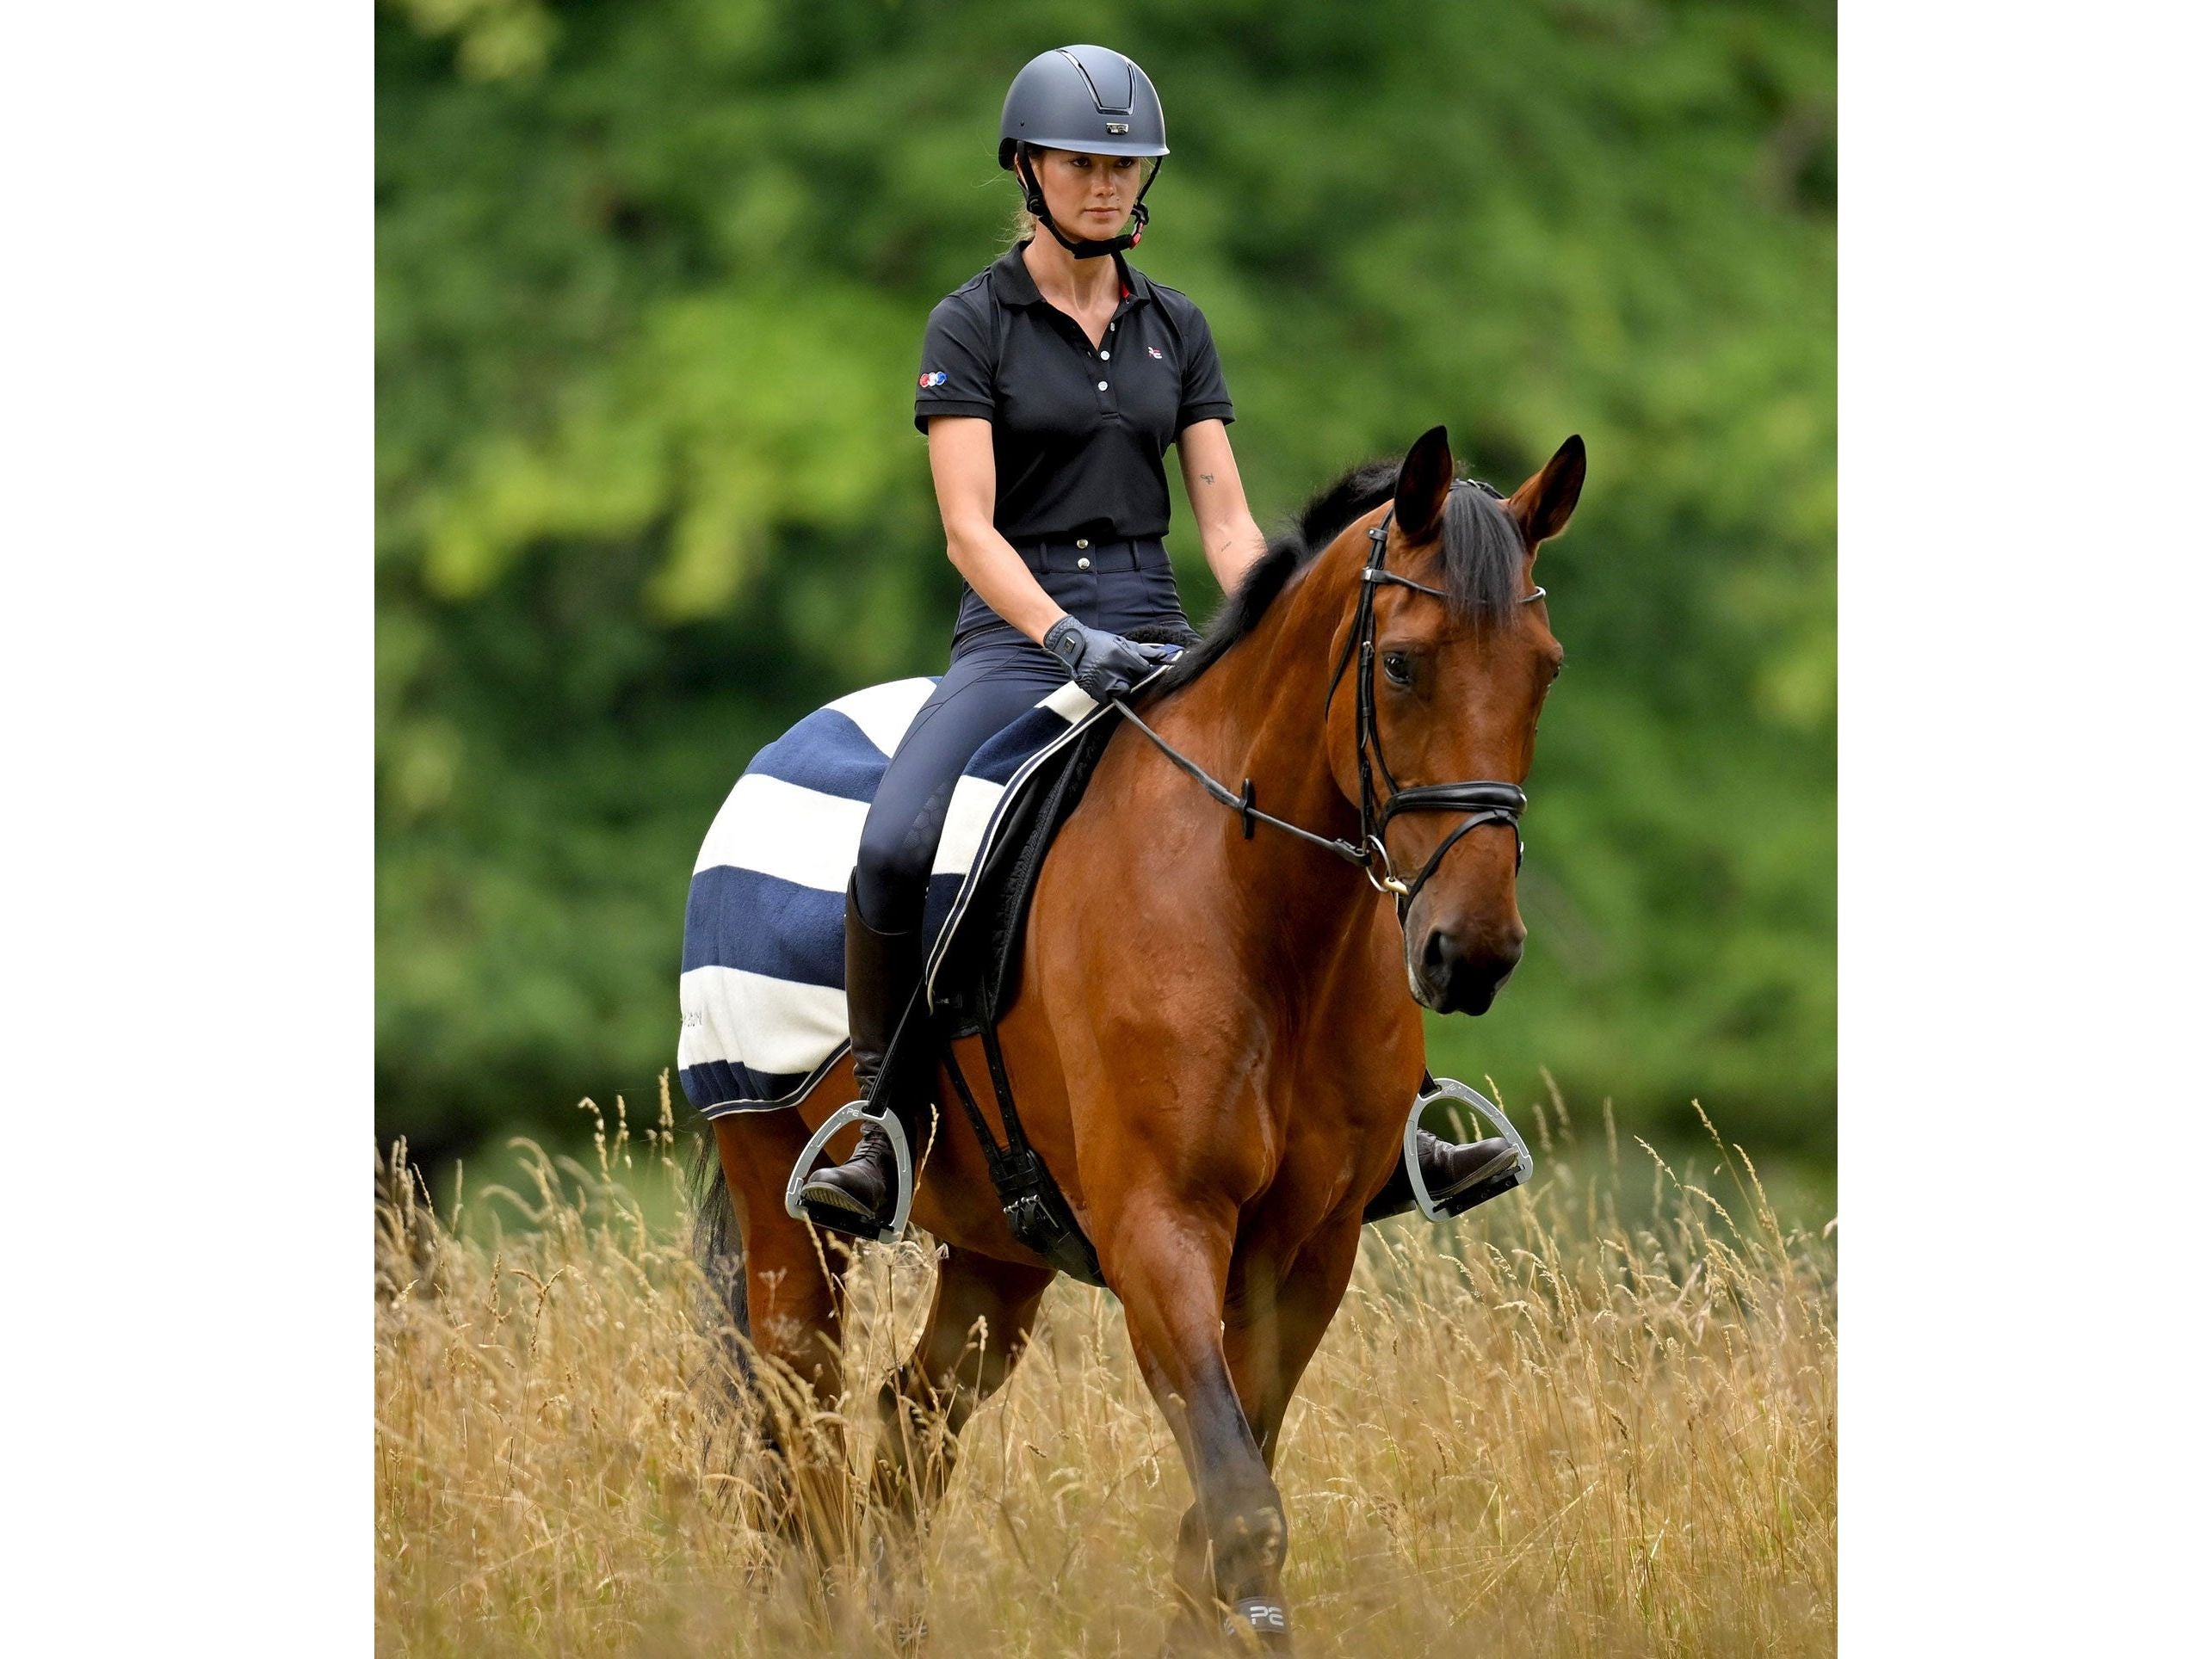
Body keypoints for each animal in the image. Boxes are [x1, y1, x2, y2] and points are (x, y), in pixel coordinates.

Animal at [692, 424, 1584, 1649]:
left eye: (1544, 666)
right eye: (1402, 664)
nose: (1473, 950)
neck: (1257, 908)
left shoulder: (1306, 1255)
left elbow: (1221, 1509)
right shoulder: (1160, 1229)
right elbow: (1241, 1507)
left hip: (996, 1254)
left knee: (908, 1426)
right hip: (780, 1204)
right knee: (802, 1447)